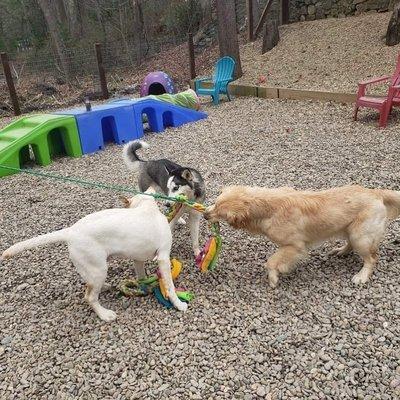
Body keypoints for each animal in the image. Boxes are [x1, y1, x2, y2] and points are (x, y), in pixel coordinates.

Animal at [0, 191, 188, 322]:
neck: (147, 208)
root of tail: (71, 231)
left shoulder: (138, 259)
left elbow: (141, 277)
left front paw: (143, 288)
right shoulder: (163, 258)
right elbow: (170, 287)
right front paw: (178, 304)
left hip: (93, 269)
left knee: (90, 286)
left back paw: (104, 287)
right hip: (99, 268)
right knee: (89, 297)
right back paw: (104, 314)